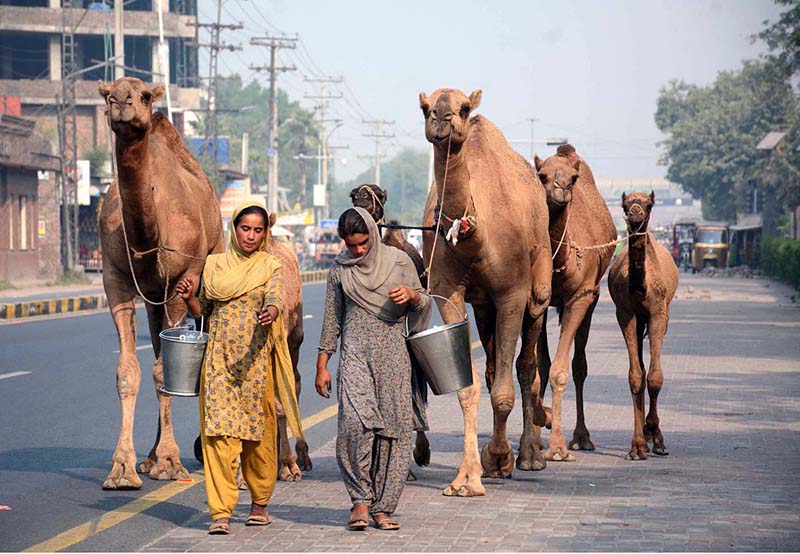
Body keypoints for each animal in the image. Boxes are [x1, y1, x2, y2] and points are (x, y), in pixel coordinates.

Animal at [98, 77, 223, 489]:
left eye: (144, 95)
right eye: (107, 94)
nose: (121, 102)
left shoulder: (181, 281)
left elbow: (163, 371)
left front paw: (170, 461)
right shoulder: (115, 278)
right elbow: (129, 370)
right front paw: (123, 469)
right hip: (152, 295)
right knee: (155, 347)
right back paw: (149, 458)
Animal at [419, 88, 552, 496]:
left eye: (463, 108)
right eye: (425, 108)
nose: (442, 119)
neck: (473, 238)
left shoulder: (512, 292)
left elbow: (505, 390)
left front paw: (498, 457)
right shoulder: (448, 292)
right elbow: (470, 386)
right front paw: (467, 477)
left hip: (537, 287)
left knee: (526, 367)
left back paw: (529, 455)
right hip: (484, 307)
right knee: (495, 367)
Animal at [533, 145, 617, 462]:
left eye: (573, 177)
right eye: (541, 174)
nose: (560, 189)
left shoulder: (581, 296)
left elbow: (559, 371)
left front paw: (557, 447)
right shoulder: (537, 300)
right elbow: (541, 366)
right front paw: (537, 431)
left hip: (591, 299)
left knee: (580, 365)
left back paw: (582, 438)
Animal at [608, 191, 678, 460]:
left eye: (648, 204)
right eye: (625, 204)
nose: (635, 213)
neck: (641, 289)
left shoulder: (658, 313)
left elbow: (655, 377)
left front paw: (658, 440)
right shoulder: (625, 313)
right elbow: (636, 376)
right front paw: (637, 446)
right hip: (638, 321)